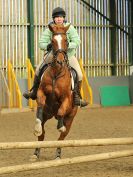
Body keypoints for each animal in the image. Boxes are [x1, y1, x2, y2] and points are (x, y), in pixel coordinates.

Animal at [32, 23, 78, 159]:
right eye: (52, 41)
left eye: (67, 41)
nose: (60, 61)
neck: (57, 72)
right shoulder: (41, 92)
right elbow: (40, 104)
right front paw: (37, 126)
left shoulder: (66, 98)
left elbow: (61, 110)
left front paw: (60, 127)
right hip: (47, 114)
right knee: (42, 135)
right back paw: (36, 153)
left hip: (70, 118)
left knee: (61, 138)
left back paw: (58, 154)